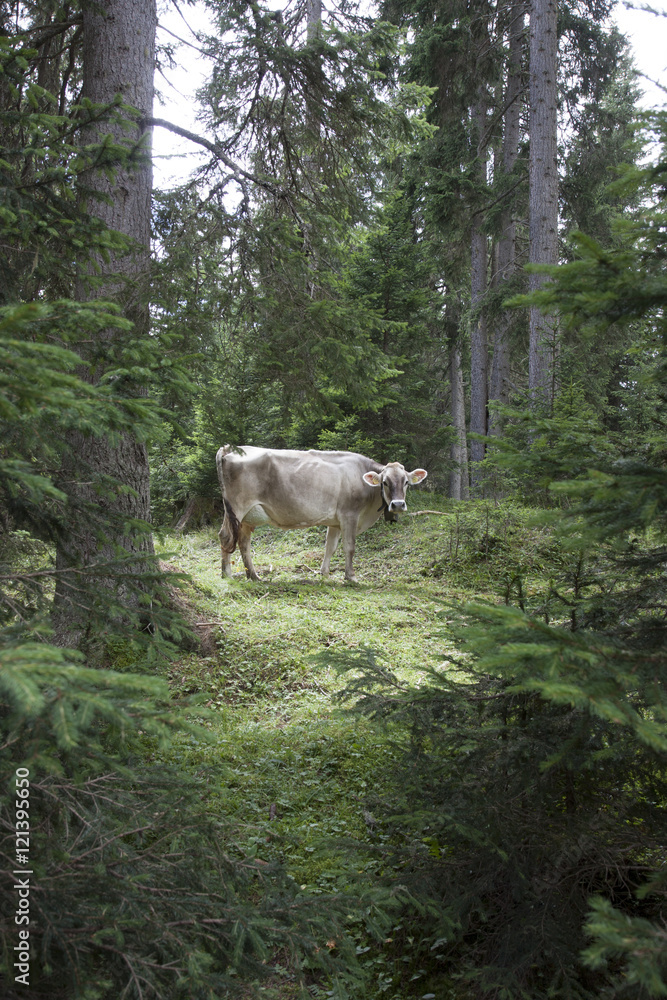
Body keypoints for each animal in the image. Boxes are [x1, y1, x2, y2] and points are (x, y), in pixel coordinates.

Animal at [215, 446, 428, 583]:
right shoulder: (349, 515)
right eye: (385, 482)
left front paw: (324, 574)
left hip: (246, 517)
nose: (398, 504)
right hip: (236, 507)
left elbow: (330, 548)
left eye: (406, 482)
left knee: (243, 543)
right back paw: (227, 575)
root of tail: (230, 448)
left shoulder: (335, 522)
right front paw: (351, 577)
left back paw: (254, 576)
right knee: (226, 536)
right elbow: (349, 547)